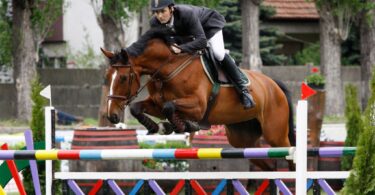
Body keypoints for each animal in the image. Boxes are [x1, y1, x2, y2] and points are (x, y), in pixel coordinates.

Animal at [101, 32, 296, 171]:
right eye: (107, 77)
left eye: (123, 78)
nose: (112, 116)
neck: (168, 68)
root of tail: (274, 85)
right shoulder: (156, 104)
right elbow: (138, 107)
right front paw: (157, 126)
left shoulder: (198, 106)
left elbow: (169, 107)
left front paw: (183, 126)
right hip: (242, 139)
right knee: (269, 166)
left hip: (275, 134)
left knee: (289, 156)